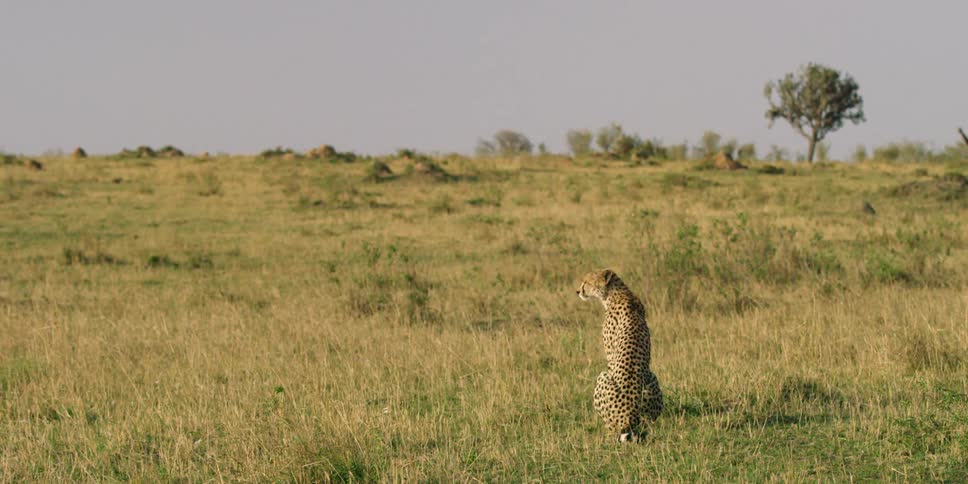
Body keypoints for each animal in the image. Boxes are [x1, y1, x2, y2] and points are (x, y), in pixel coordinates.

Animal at [577, 268, 663, 442]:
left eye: (586, 282)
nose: (578, 291)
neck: (617, 293)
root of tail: (628, 417)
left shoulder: (610, 356)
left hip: (602, 376)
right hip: (651, 379)